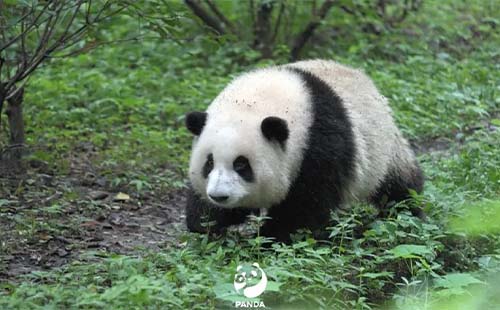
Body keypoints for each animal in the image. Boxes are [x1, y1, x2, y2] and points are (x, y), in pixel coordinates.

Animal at [184, 58, 422, 242]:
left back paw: (407, 214)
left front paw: (273, 236)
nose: (219, 196)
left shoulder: (319, 144)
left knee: (399, 187)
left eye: (242, 165)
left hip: (383, 150)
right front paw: (208, 222)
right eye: (209, 163)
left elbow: (305, 206)